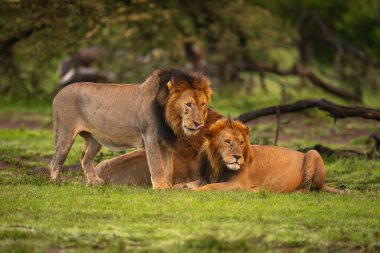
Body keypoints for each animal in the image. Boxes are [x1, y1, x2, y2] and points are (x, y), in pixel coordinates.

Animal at [49, 68, 211, 189]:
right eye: (188, 104)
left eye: (202, 104)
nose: (199, 124)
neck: (168, 118)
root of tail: (58, 93)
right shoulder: (150, 137)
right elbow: (157, 165)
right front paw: (160, 187)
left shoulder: (165, 142)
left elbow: (168, 167)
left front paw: (168, 187)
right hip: (65, 135)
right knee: (56, 161)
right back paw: (57, 183)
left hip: (94, 140)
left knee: (85, 158)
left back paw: (95, 181)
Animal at [186, 117, 348, 193]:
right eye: (227, 141)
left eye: (241, 143)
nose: (238, 157)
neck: (219, 165)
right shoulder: (207, 177)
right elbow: (190, 183)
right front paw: (184, 187)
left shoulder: (238, 184)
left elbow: (211, 187)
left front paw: (195, 191)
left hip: (313, 153)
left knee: (305, 190)